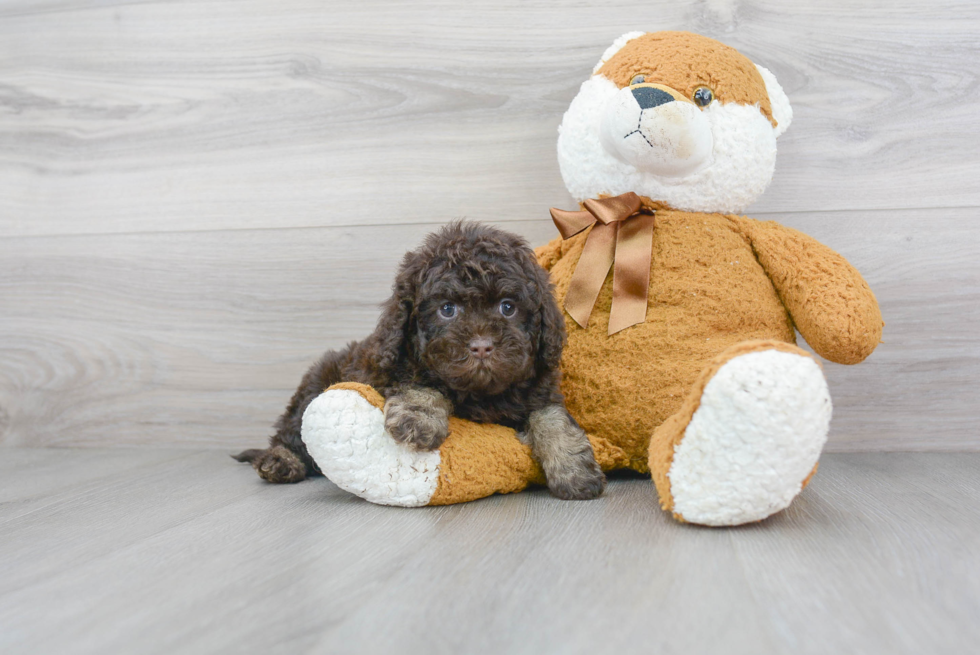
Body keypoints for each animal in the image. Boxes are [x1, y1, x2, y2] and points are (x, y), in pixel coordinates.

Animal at [237, 223, 604, 500]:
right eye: (447, 309)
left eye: (508, 307)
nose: (482, 346)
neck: (480, 393)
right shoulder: (394, 367)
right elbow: (422, 383)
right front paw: (420, 420)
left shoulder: (540, 389)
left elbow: (552, 418)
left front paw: (574, 469)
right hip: (315, 383)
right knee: (290, 433)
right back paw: (280, 461)